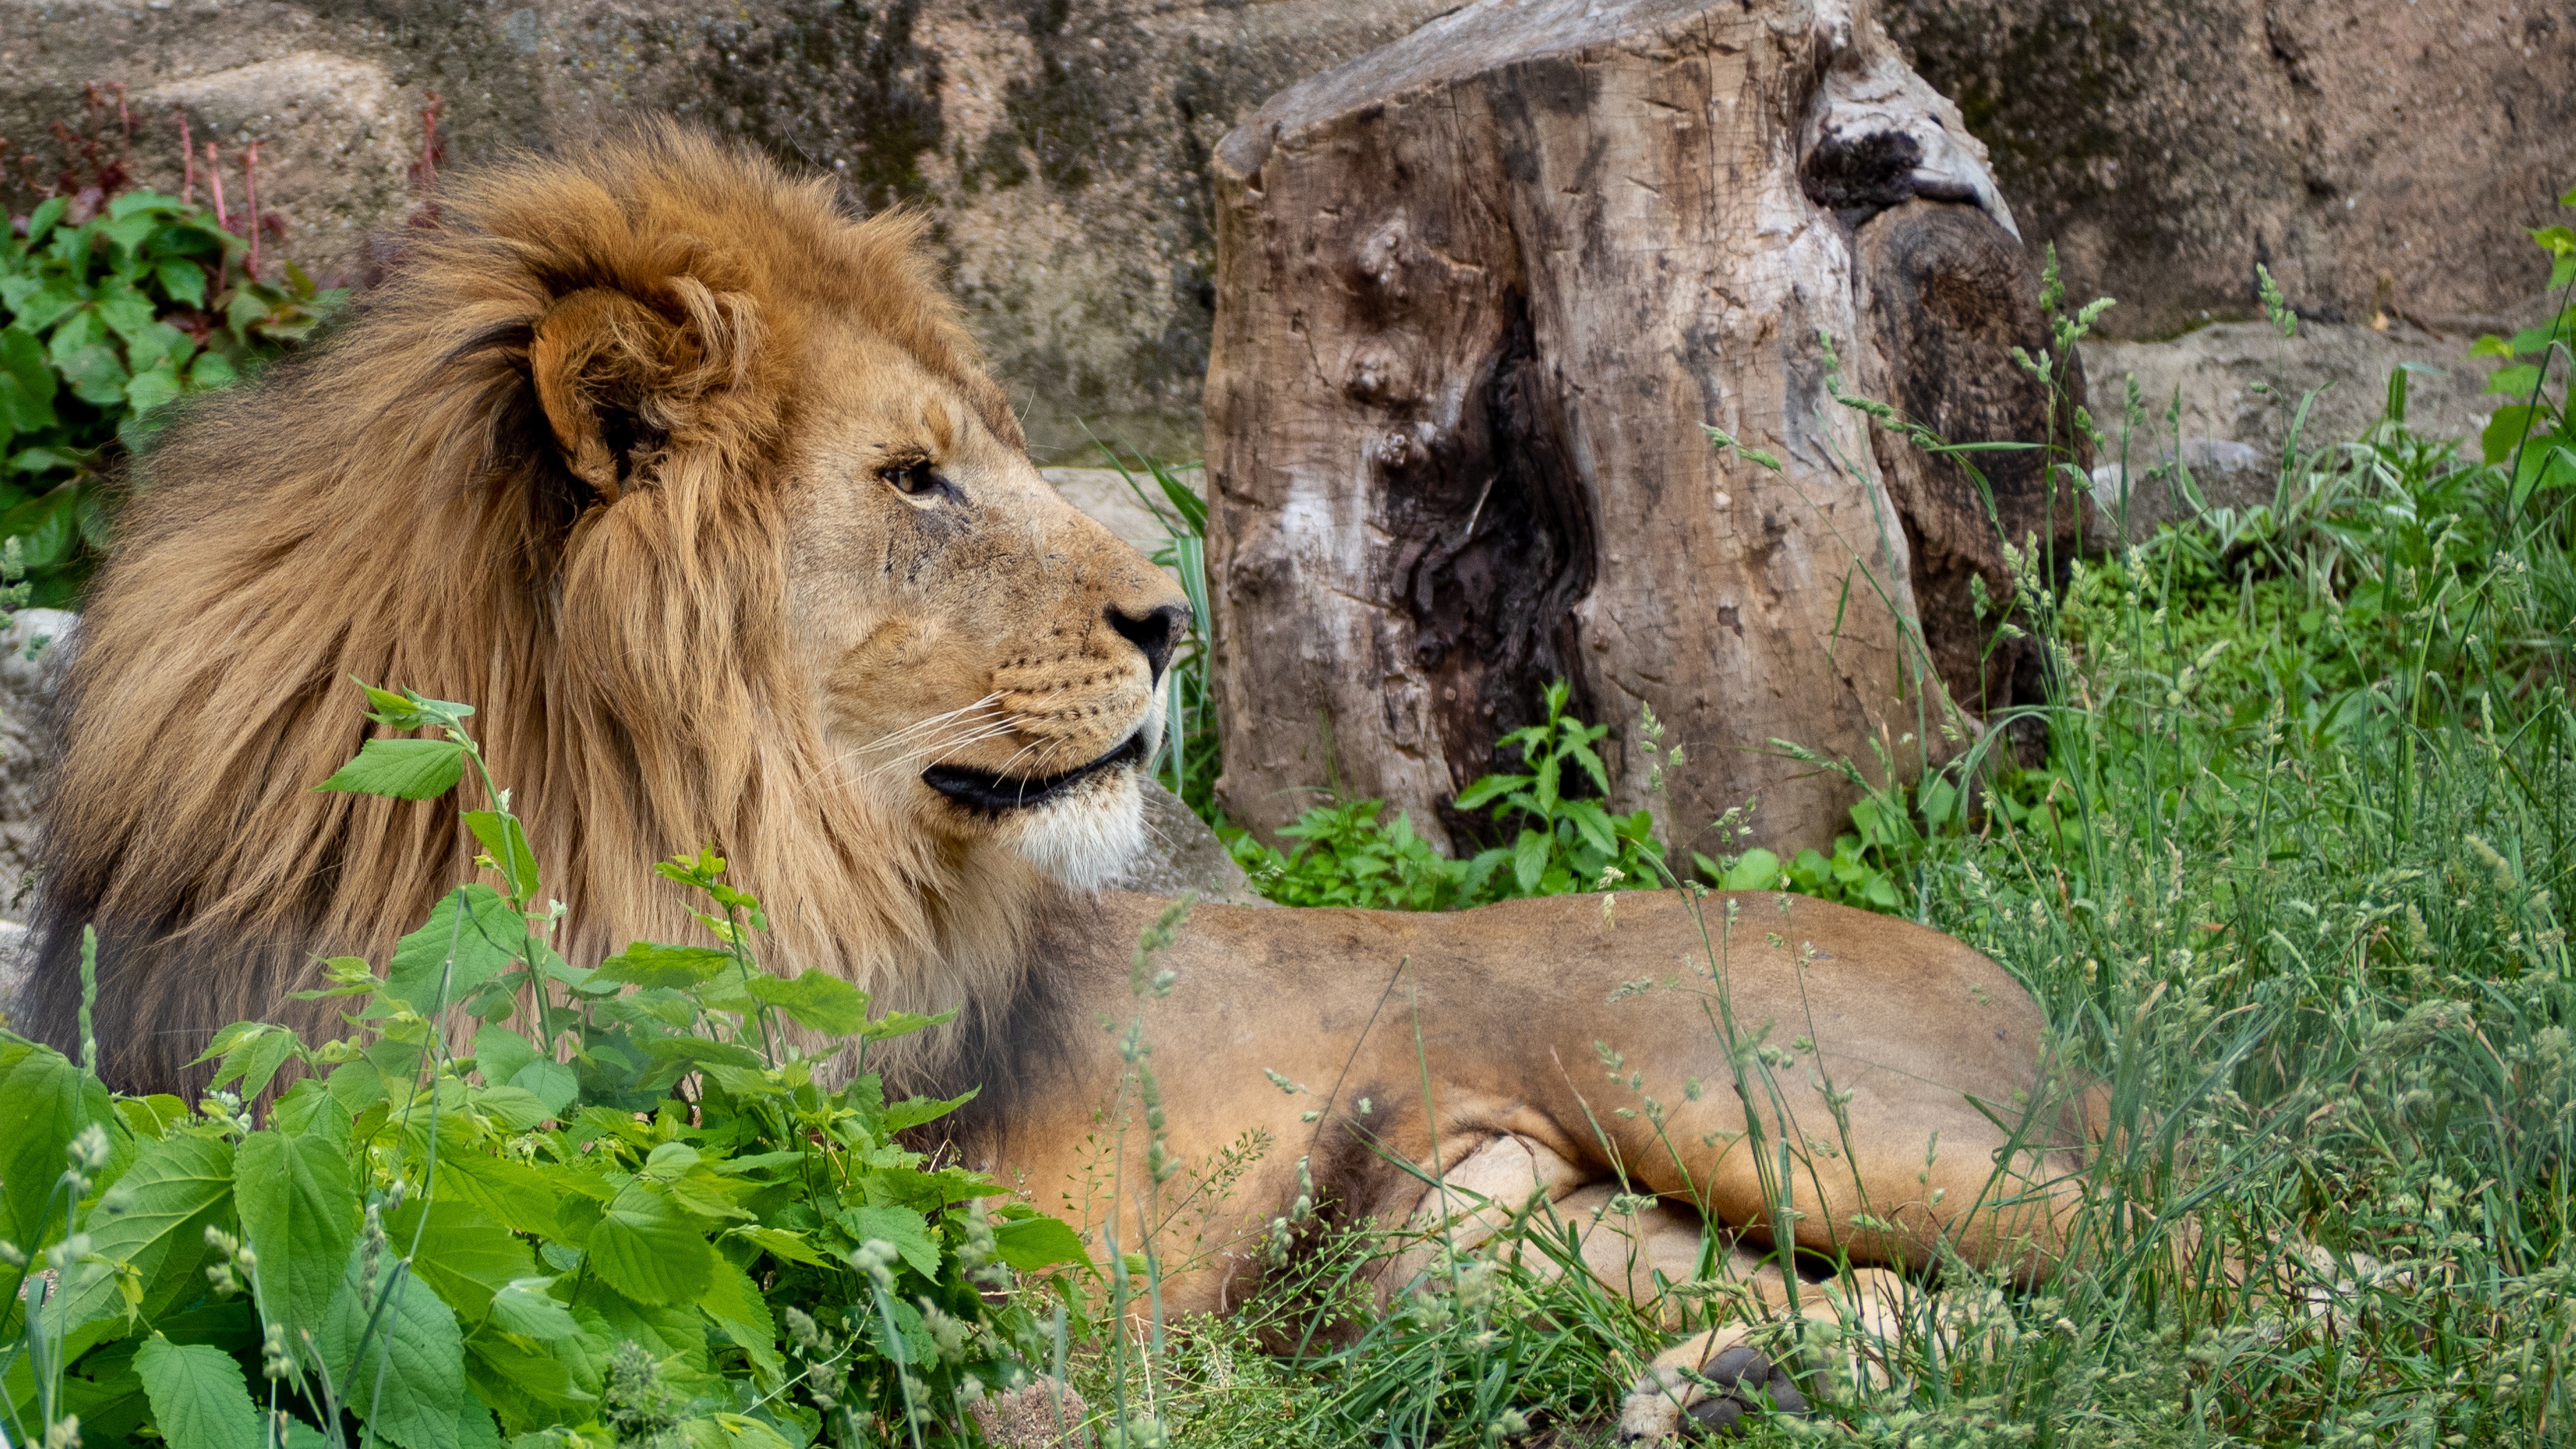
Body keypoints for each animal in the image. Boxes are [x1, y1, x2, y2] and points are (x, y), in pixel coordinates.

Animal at [15, 124, 2092, 1433]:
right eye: (916, 479)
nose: (1174, 620)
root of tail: (2036, 999)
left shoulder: (804, 1231)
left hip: (1733, 1081)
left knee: (2154, 1252)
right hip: (1473, 1249)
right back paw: (1746, 1386)